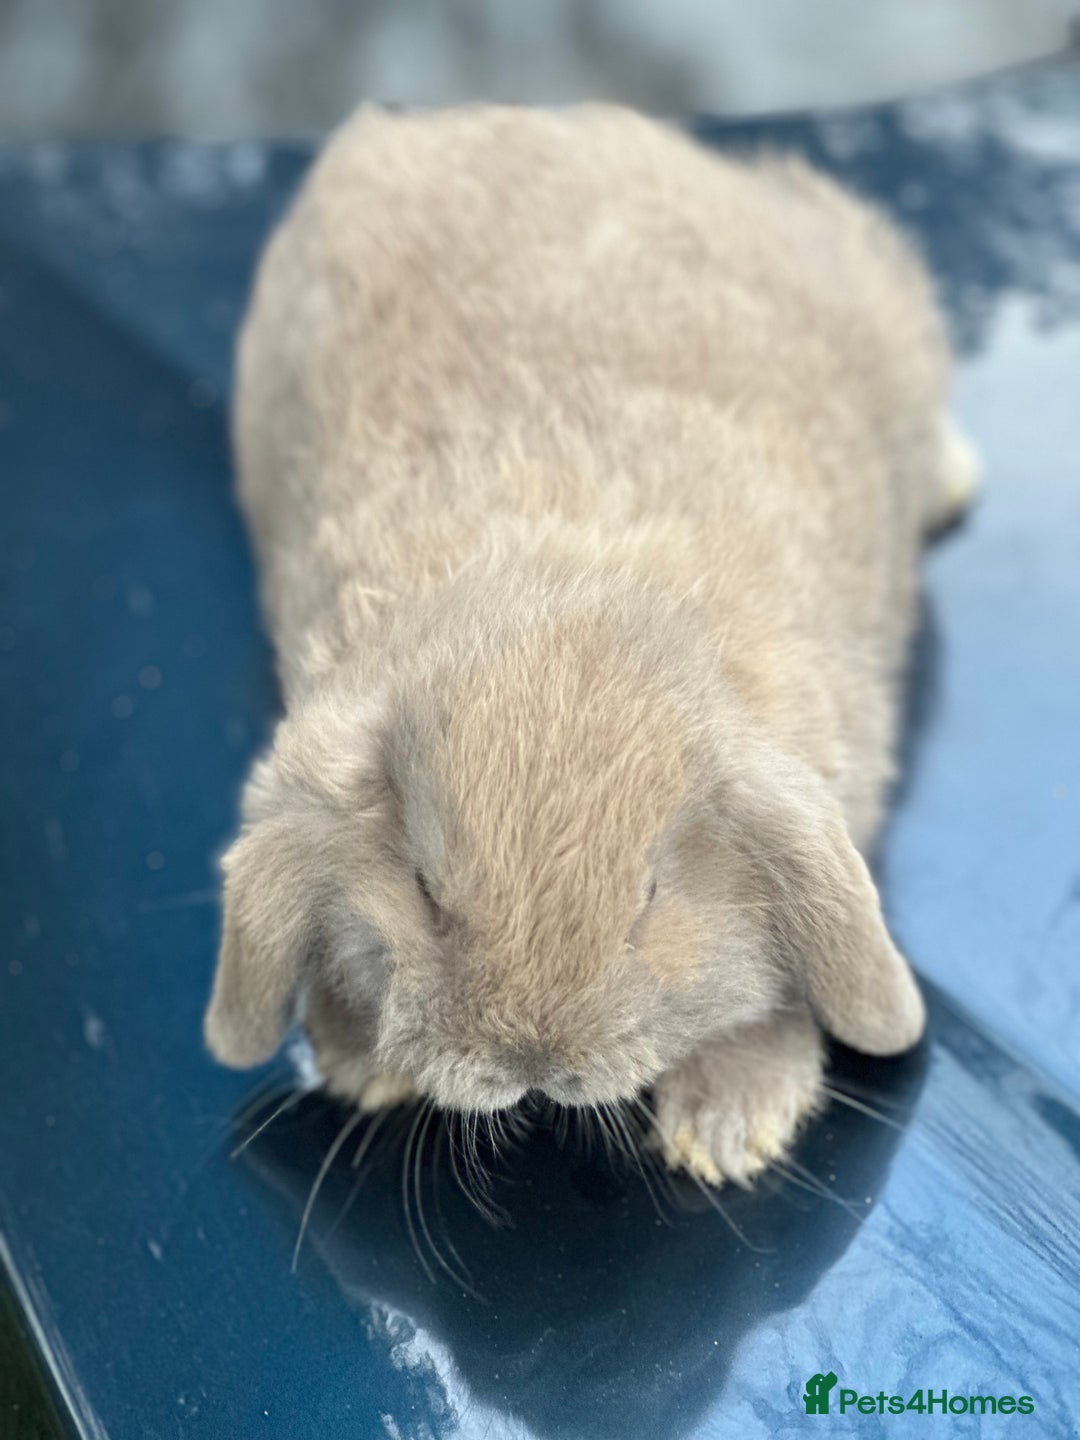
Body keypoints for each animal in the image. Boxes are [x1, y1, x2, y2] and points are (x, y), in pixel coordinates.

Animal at [204, 103, 978, 1187]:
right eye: (424, 891)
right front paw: (359, 1060)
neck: (570, 571)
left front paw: (728, 1129)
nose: (532, 1062)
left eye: (650, 896)